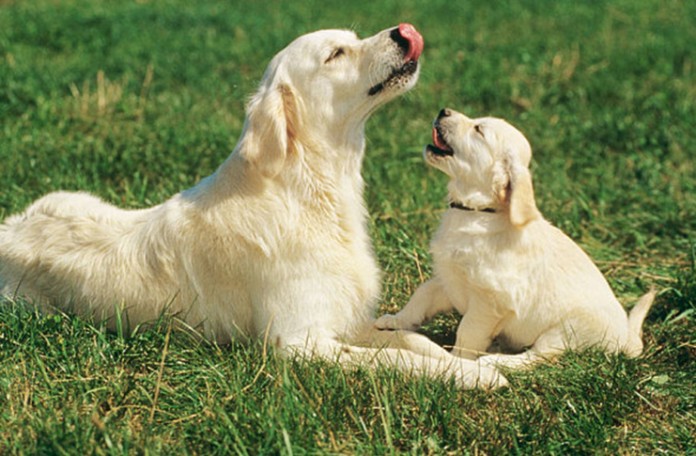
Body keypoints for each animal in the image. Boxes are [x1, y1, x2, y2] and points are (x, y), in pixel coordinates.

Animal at [0, 25, 506, 388]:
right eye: (335, 54)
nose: (405, 32)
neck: (309, 189)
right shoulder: (297, 342)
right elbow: (398, 358)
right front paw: (474, 376)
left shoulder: (343, 319)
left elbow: (412, 340)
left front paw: (480, 363)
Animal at [376, 108, 652, 368]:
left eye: (478, 130)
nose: (443, 110)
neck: (476, 211)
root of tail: (625, 339)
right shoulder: (448, 278)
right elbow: (422, 295)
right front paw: (395, 320)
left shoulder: (489, 302)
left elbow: (468, 332)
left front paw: (458, 360)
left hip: (564, 331)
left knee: (537, 357)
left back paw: (496, 360)